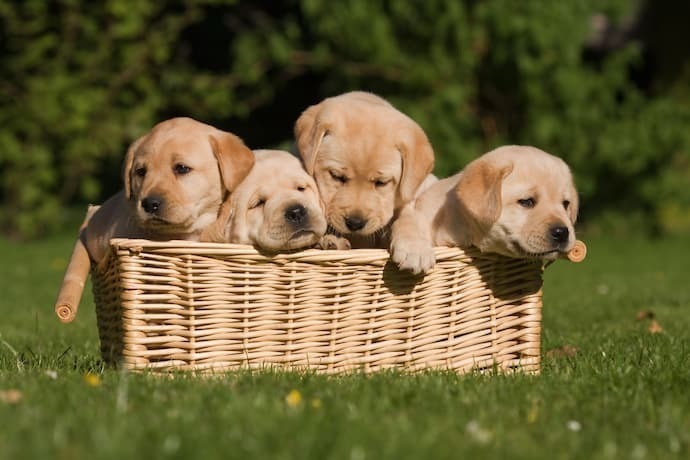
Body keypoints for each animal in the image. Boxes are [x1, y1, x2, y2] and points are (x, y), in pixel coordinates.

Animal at [292, 90, 432, 248]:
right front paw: (329, 240)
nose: (355, 223)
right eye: (336, 176)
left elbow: (406, 215)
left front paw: (413, 245)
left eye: (381, 182)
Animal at [390, 146, 576, 274]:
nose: (561, 232)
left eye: (565, 204)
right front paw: (414, 251)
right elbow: (406, 221)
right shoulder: (418, 210)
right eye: (527, 202)